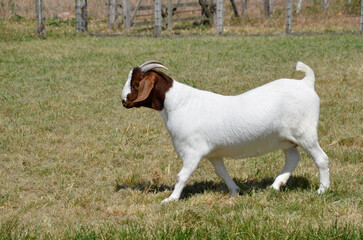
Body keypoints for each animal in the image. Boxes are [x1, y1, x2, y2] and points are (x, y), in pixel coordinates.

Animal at [121, 61, 330, 203]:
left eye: (136, 84)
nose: (123, 101)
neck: (179, 103)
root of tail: (306, 83)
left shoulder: (192, 151)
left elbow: (182, 175)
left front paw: (171, 199)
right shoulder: (213, 154)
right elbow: (222, 172)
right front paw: (235, 191)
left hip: (305, 133)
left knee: (321, 158)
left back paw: (322, 190)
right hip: (285, 139)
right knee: (293, 158)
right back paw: (274, 186)